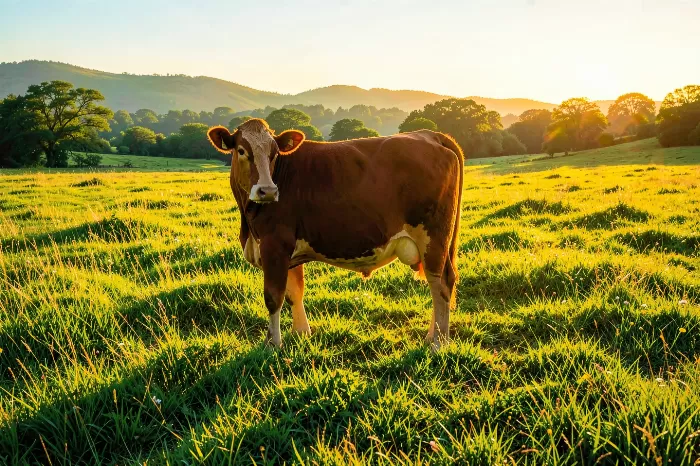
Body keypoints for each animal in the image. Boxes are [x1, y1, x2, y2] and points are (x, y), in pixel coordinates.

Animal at [207, 118, 463, 350]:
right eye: (241, 150)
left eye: (274, 153)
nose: (267, 190)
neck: (249, 225)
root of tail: (430, 135)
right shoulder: (289, 251)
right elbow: (294, 292)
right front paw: (301, 333)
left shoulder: (275, 245)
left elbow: (273, 297)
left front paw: (273, 345)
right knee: (442, 282)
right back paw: (432, 336)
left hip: (433, 238)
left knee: (439, 284)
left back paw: (439, 342)